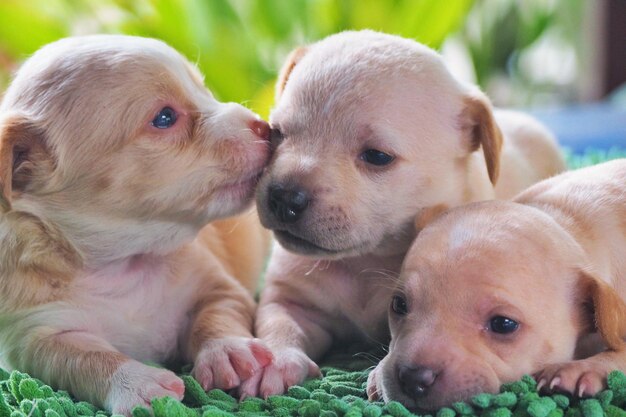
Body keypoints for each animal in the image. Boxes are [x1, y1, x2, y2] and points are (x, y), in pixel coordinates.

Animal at [0, 35, 272, 412]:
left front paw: (228, 350)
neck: (124, 264)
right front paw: (137, 384)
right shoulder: (36, 337)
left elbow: (216, 316)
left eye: (205, 90)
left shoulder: (219, 287)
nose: (266, 125)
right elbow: (86, 359)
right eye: (165, 117)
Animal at [241, 30, 564, 396]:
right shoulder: (291, 301)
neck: (363, 261)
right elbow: (281, 323)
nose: (283, 197)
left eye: (377, 156)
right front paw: (276, 360)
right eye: (276, 133)